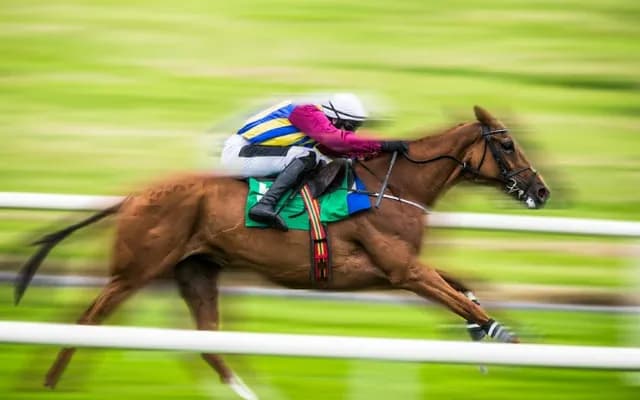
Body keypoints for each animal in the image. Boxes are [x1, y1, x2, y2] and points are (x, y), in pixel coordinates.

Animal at [15, 105, 549, 399]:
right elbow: (462, 298)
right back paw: (47, 384)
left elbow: (463, 289)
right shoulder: (402, 269)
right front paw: (510, 340)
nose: (541, 191)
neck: (394, 186)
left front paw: (480, 337)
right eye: (507, 143)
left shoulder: (393, 271)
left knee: (209, 345)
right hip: (137, 269)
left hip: (196, 271)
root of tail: (133, 196)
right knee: (87, 320)